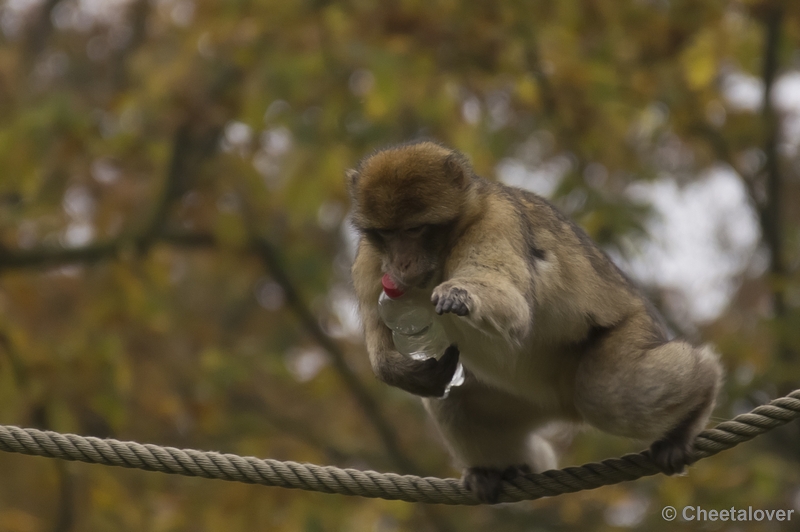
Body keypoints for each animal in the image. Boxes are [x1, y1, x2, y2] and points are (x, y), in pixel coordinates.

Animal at [346, 140, 720, 502]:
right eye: (386, 234)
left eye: (414, 229)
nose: (401, 264)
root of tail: (562, 407)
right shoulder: (369, 259)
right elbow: (382, 333)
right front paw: (394, 370)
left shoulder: (495, 223)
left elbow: (511, 302)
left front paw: (460, 294)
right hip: (518, 398)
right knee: (454, 402)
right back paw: (499, 470)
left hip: (633, 328)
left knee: (606, 395)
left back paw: (698, 396)